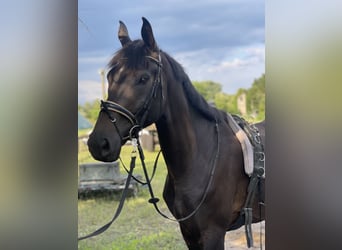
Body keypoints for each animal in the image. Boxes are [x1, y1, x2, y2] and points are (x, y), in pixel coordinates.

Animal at [88, 17, 264, 248]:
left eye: (143, 78)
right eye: (110, 76)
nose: (99, 143)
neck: (202, 157)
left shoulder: (213, 234)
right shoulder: (188, 232)